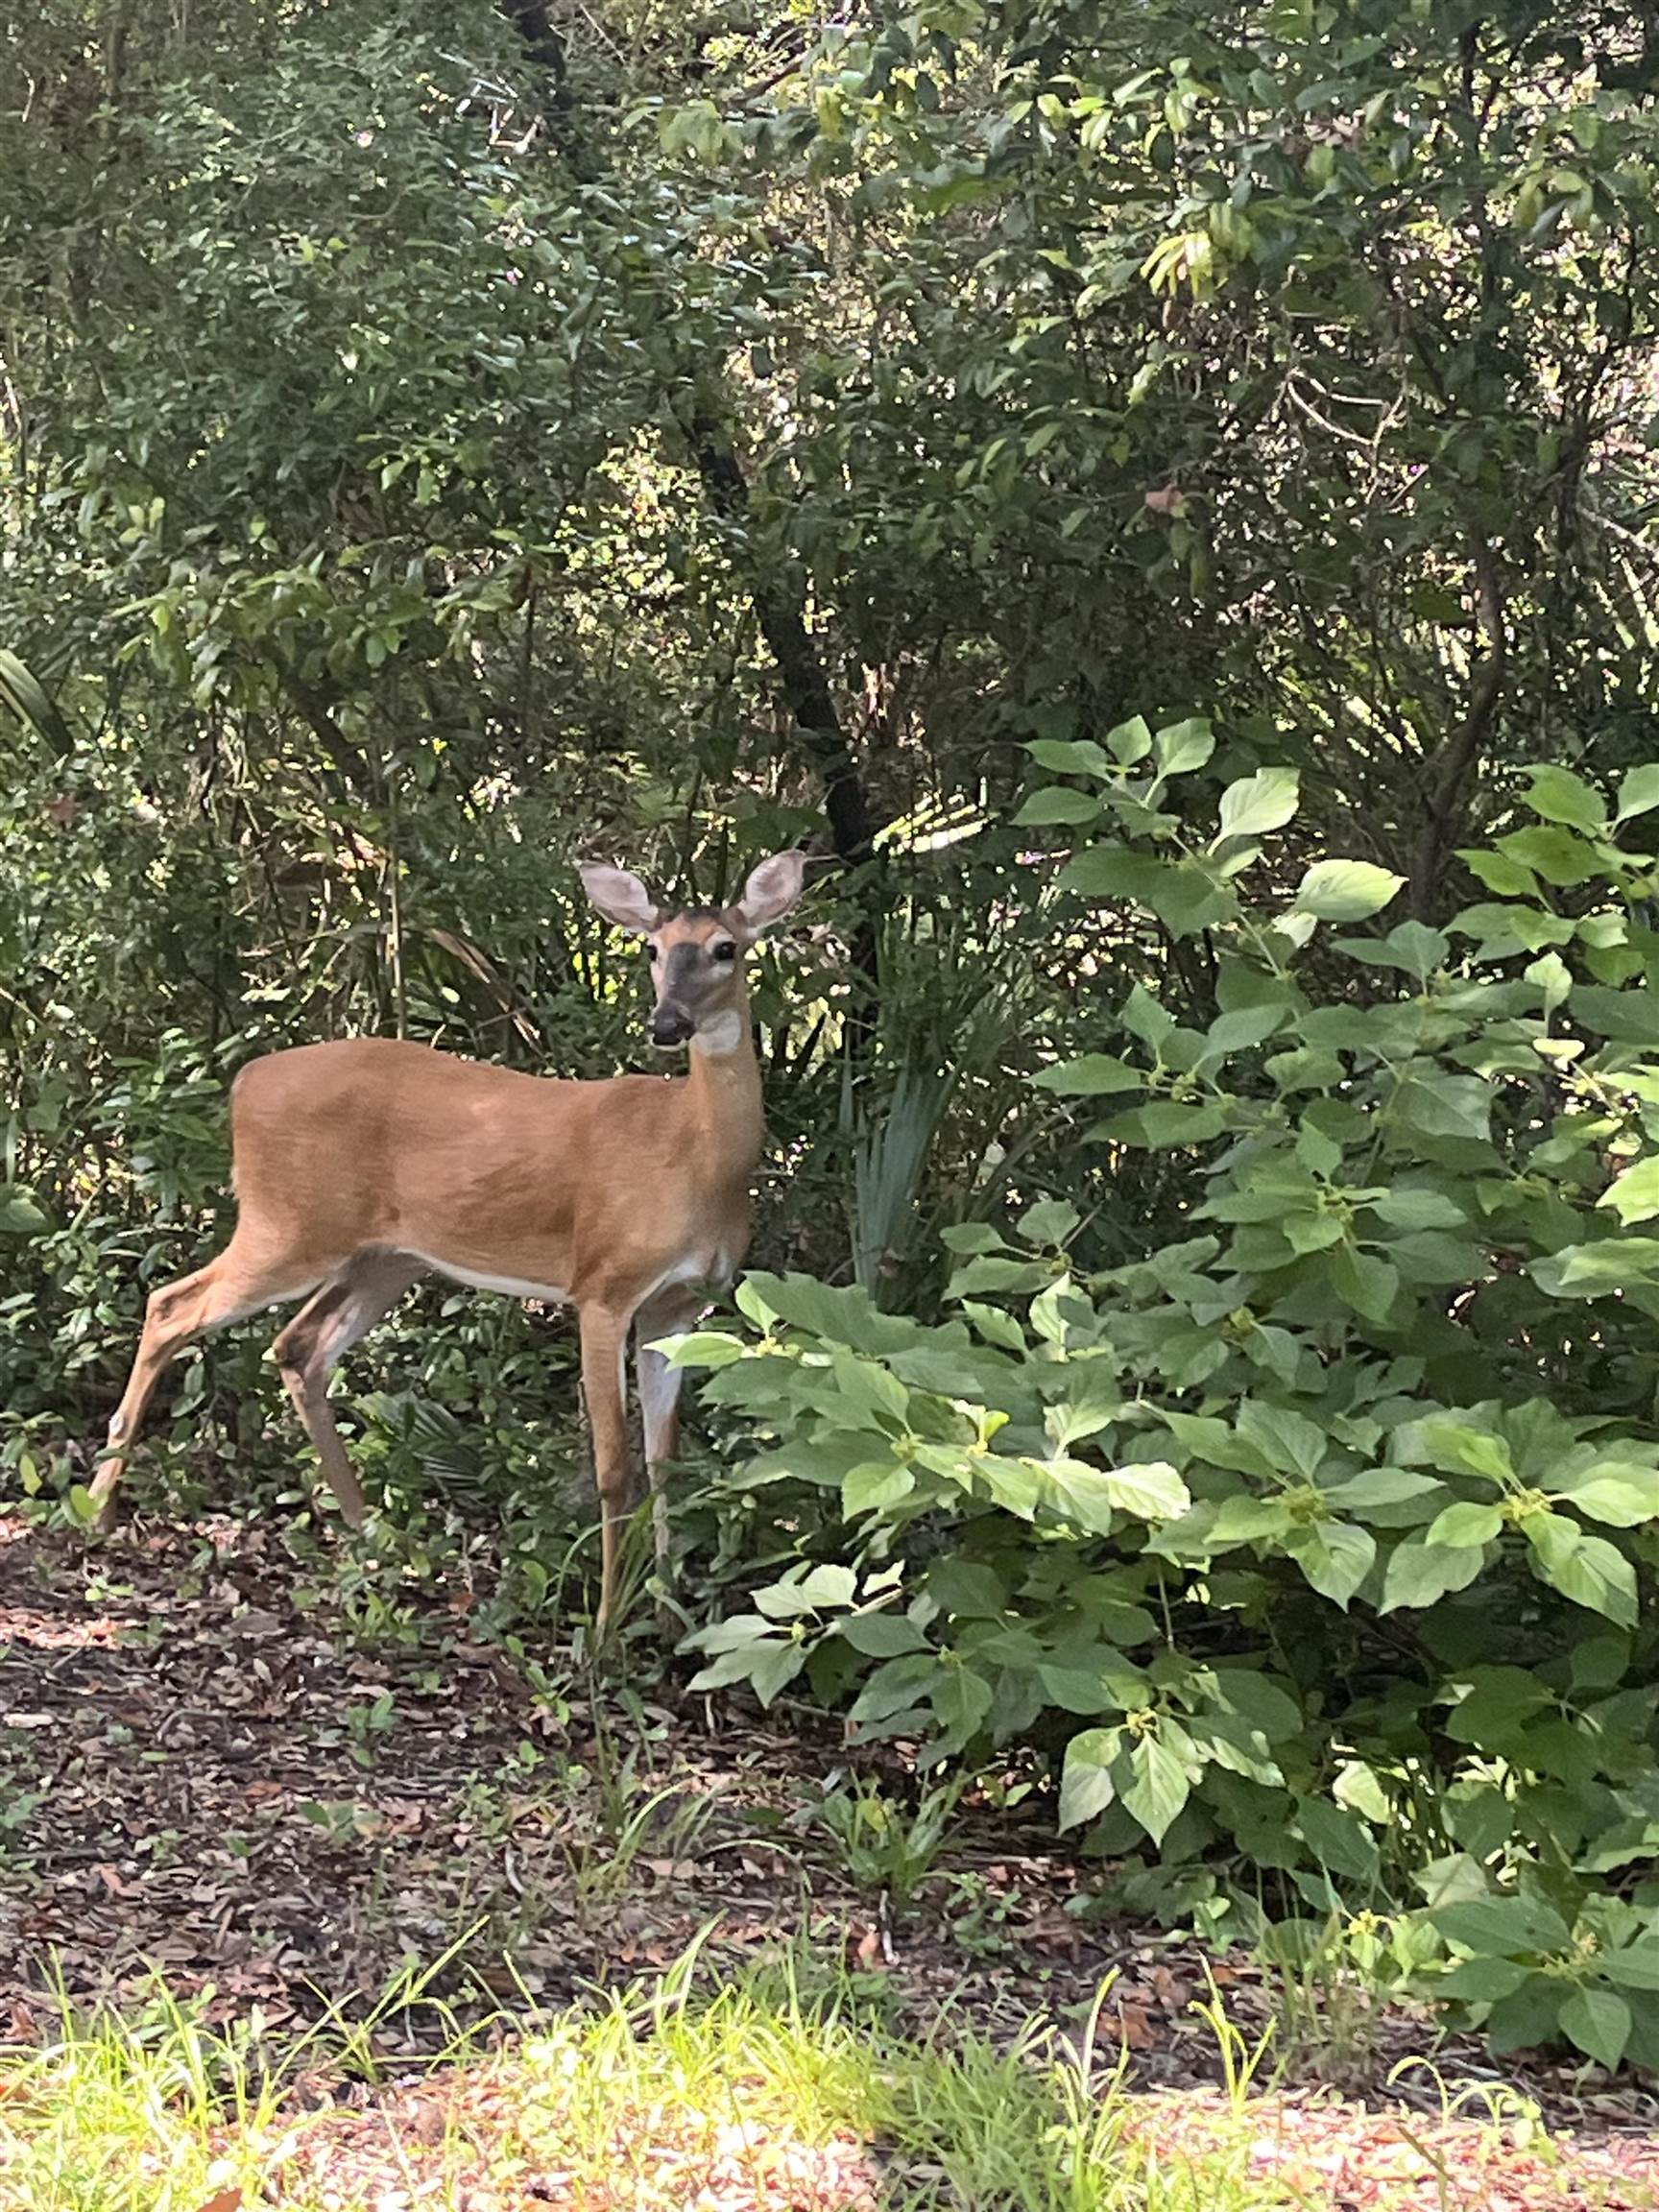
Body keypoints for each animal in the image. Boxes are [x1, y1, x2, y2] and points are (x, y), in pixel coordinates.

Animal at [90, 845, 813, 1627]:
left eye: (725, 948)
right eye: (651, 949)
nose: (667, 1022)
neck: (695, 1156)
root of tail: (243, 1081)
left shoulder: (679, 1305)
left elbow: (667, 1463)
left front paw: (672, 1609)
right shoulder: (603, 1285)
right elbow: (614, 1469)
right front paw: (604, 1628)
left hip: (386, 1255)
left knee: (297, 1347)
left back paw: (374, 1536)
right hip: (288, 1223)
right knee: (173, 1305)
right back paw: (97, 1506)